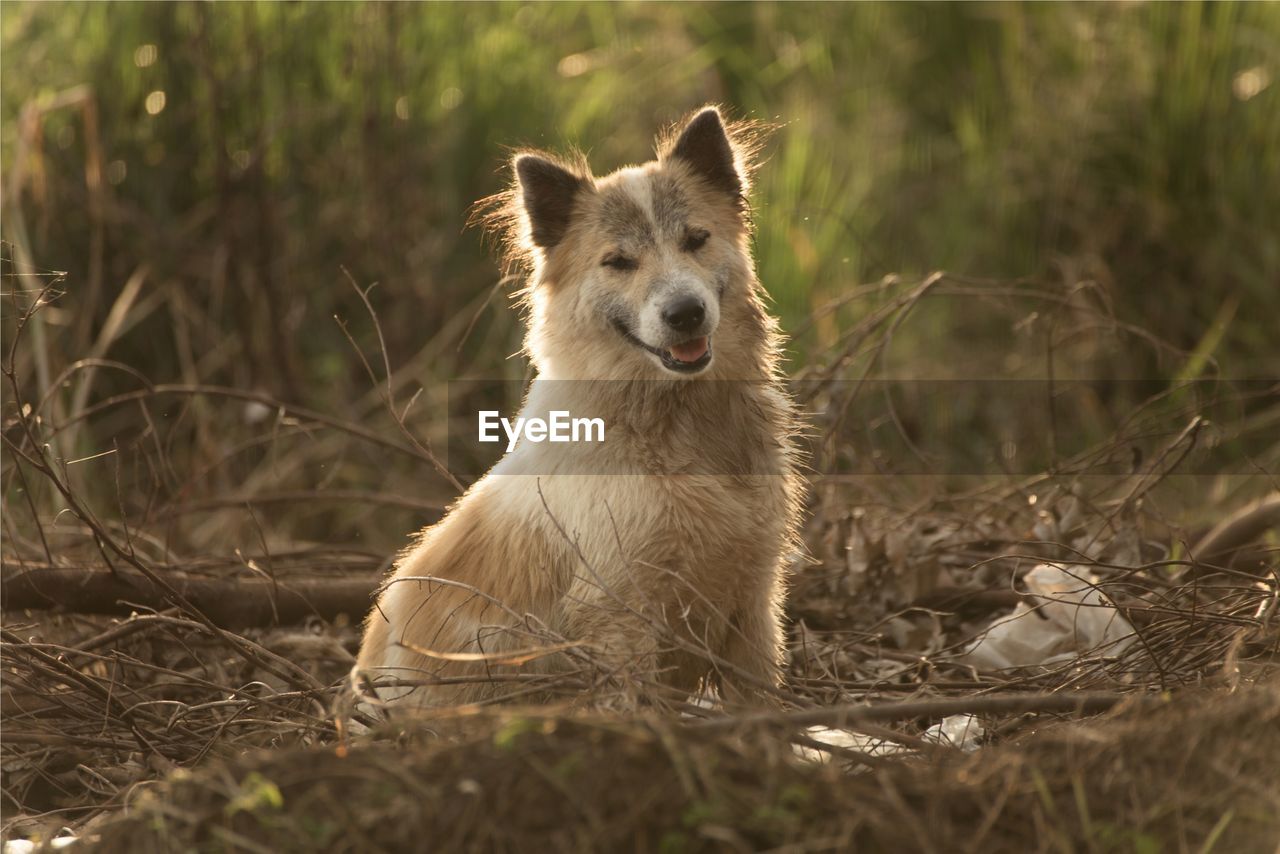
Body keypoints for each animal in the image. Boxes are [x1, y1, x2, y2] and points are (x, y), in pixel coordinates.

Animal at [355, 106, 798, 711]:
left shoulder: (753, 602)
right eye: (618, 262)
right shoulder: (618, 616)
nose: (686, 313)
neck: (672, 423)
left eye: (696, 240)